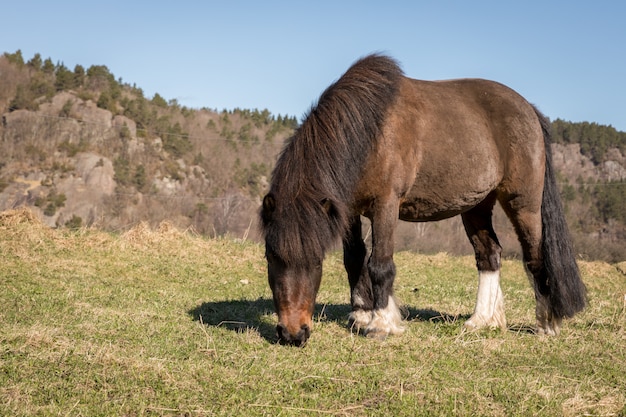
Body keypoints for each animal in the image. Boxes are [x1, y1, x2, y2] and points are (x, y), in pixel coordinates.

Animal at [258, 53, 584, 346]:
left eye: (316, 261)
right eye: (271, 257)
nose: (292, 334)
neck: (370, 132)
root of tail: (529, 110)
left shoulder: (385, 205)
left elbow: (380, 264)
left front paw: (382, 324)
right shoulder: (347, 210)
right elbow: (354, 259)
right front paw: (361, 315)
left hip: (523, 204)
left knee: (535, 256)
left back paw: (546, 323)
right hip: (476, 205)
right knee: (489, 255)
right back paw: (482, 321)